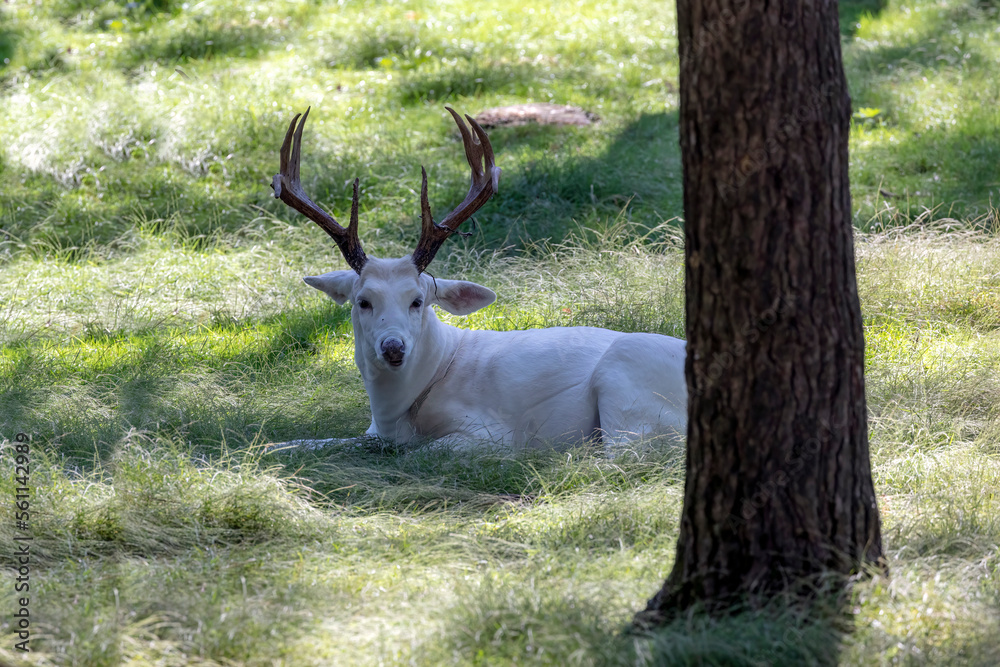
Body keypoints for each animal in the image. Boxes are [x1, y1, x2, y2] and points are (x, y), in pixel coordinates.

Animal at [270, 108, 684, 454]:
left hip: (625, 379)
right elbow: (307, 443)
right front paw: (268, 448)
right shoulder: (372, 431)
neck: (397, 412)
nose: (393, 347)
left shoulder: (490, 432)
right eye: (363, 301)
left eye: (417, 300)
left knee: (623, 456)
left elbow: (416, 452)